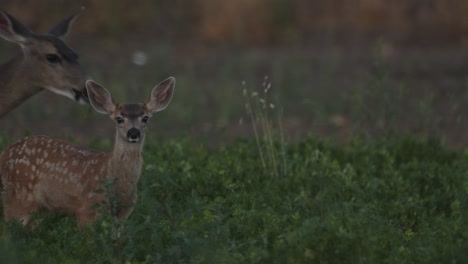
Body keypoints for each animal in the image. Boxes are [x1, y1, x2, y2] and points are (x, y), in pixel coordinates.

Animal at [0, 77, 176, 227]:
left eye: (145, 118)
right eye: (119, 119)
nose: (133, 132)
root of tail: (4, 152)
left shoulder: (123, 214)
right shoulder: (88, 208)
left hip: (40, 208)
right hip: (18, 196)